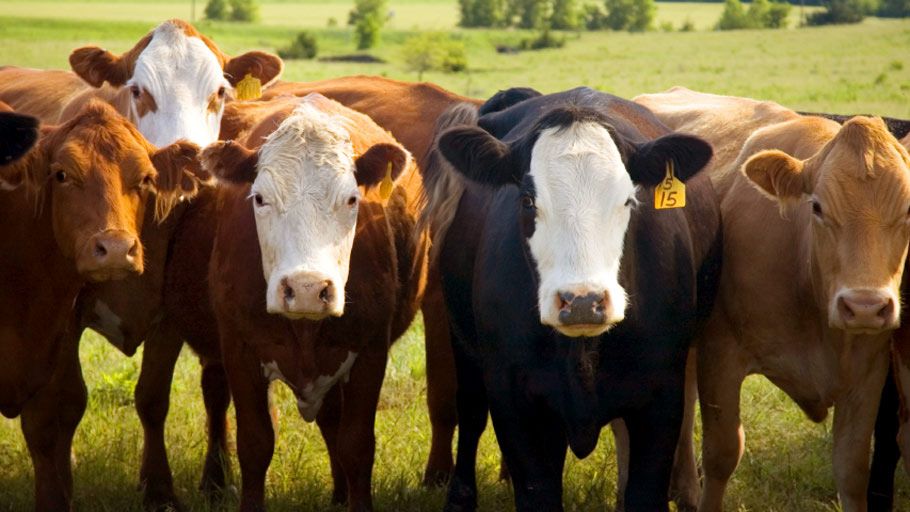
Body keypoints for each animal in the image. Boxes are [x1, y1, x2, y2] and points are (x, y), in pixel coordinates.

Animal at [201, 92, 426, 512]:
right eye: (260, 198)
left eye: (352, 199)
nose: (306, 288)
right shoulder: (239, 350)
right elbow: (254, 444)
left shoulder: (370, 353)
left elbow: (357, 446)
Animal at [422, 86, 720, 512]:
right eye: (528, 201)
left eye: (629, 200)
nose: (582, 301)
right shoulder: (513, 399)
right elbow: (537, 491)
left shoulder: (662, 397)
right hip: (463, 344)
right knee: (471, 410)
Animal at [634, 87, 910, 512]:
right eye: (817, 207)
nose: (864, 307)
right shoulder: (721, 355)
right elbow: (722, 454)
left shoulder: (869, 372)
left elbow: (851, 469)